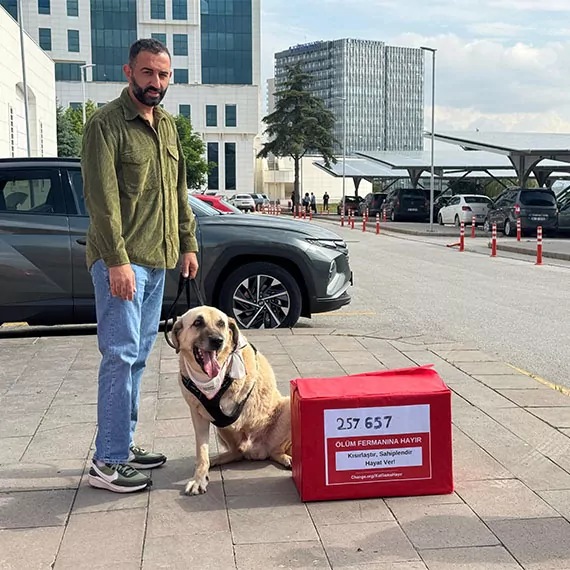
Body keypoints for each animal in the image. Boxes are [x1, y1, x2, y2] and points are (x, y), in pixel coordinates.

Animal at [169, 304, 290, 494]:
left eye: (221, 324)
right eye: (197, 322)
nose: (218, 340)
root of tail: (256, 451)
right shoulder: (198, 417)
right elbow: (201, 452)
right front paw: (199, 478)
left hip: (289, 406)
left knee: (275, 450)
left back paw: (285, 458)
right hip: (222, 429)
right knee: (237, 452)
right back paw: (216, 459)